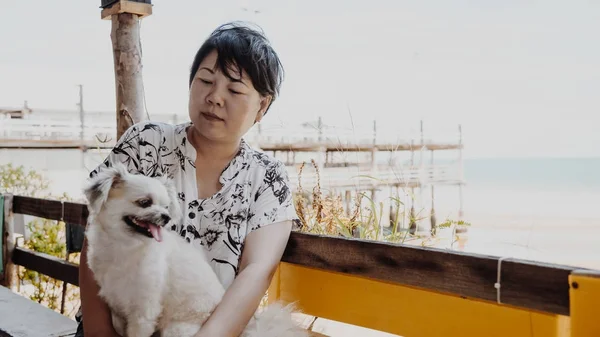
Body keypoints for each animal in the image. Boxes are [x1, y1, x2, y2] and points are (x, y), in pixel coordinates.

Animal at [83, 163, 310, 336]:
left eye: (166, 207)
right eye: (144, 202)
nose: (165, 217)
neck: (124, 245)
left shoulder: (143, 313)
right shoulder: (118, 308)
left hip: (176, 329)